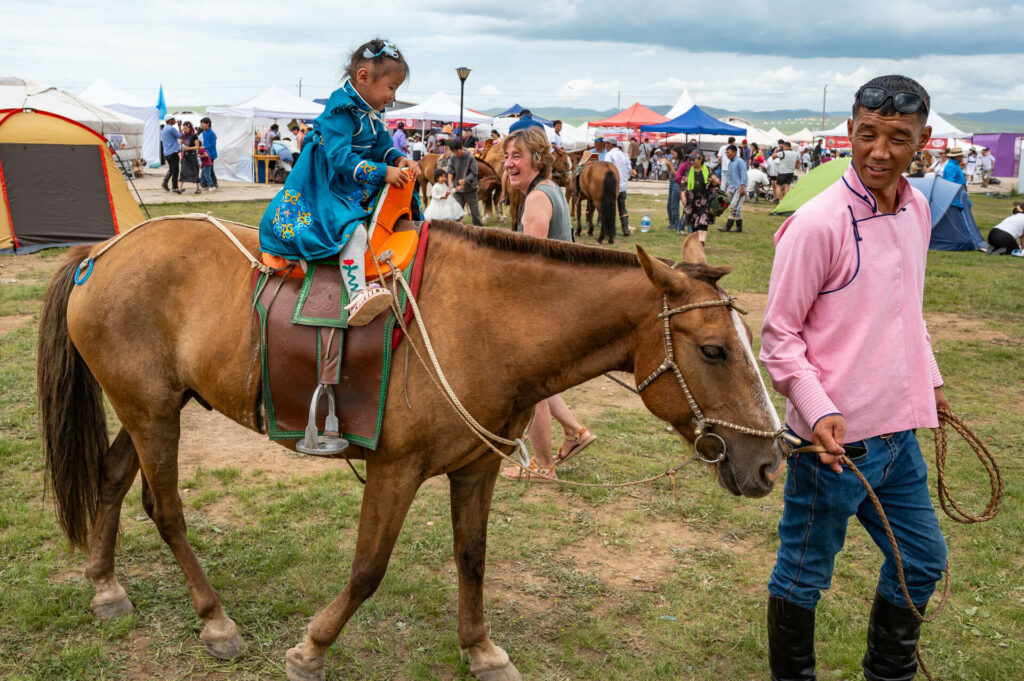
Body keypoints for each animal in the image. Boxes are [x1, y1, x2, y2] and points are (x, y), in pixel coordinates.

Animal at [34, 220, 782, 675]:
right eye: (713, 350)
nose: (771, 462)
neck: (486, 323)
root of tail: (102, 251)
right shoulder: (394, 471)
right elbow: (369, 567)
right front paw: (313, 646)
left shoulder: (477, 469)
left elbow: (473, 557)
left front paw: (481, 648)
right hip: (154, 412)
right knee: (165, 510)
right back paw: (215, 619)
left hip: (153, 408)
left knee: (109, 479)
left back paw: (105, 585)